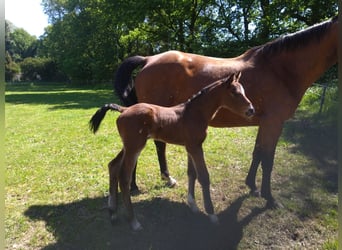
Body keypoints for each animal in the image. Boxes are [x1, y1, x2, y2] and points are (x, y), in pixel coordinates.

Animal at [89, 73, 255, 230]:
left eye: (243, 91)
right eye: (234, 92)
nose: (251, 110)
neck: (194, 113)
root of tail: (123, 109)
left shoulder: (190, 147)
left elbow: (191, 173)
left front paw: (193, 205)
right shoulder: (195, 147)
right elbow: (204, 177)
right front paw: (212, 215)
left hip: (128, 146)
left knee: (113, 166)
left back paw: (113, 213)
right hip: (134, 147)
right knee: (124, 177)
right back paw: (134, 222)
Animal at [113, 16, 338, 209]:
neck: (280, 69)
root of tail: (148, 59)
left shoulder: (264, 123)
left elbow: (257, 153)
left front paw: (252, 186)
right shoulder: (274, 123)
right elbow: (268, 160)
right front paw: (270, 198)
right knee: (154, 146)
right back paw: (142, 183)